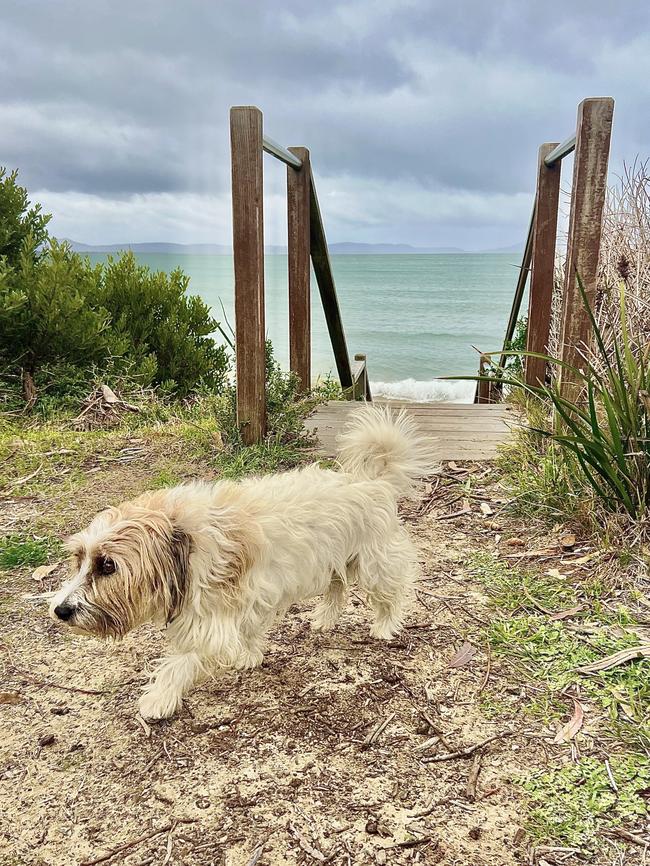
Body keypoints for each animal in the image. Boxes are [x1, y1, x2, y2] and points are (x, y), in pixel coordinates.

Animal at [49, 404, 430, 716]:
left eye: (107, 565)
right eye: (79, 559)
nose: (60, 610)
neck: (185, 538)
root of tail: (373, 481)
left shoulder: (215, 625)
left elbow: (181, 662)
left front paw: (159, 698)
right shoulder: (245, 603)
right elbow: (246, 634)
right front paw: (250, 656)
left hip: (373, 564)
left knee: (390, 593)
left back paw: (384, 626)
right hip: (332, 560)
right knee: (337, 588)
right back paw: (325, 619)